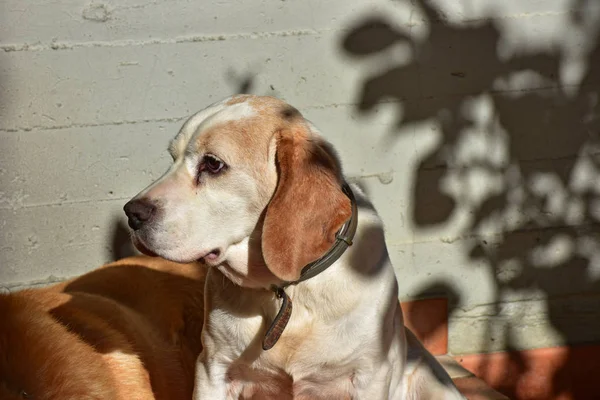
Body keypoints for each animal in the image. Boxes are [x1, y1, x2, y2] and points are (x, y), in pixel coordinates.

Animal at [123, 95, 464, 398]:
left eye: (213, 164)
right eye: (173, 158)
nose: (131, 213)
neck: (290, 291)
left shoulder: (369, 376)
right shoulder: (212, 370)